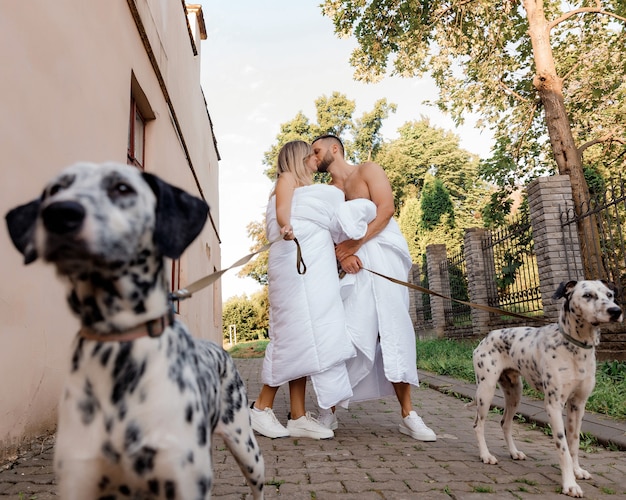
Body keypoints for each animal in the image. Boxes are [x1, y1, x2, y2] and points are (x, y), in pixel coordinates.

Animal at [5, 162, 264, 498]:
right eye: (54, 190)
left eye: (122, 188)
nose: (60, 213)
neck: (118, 348)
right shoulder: (80, 479)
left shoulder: (180, 480)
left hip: (246, 449)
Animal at [472, 280, 620, 498]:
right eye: (587, 295)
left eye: (609, 294)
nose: (616, 311)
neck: (576, 348)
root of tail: (487, 336)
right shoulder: (554, 405)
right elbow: (563, 447)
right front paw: (570, 484)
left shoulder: (578, 405)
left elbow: (574, 442)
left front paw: (577, 471)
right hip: (486, 391)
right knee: (479, 425)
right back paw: (485, 455)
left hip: (515, 393)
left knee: (505, 423)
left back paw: (514, 452)